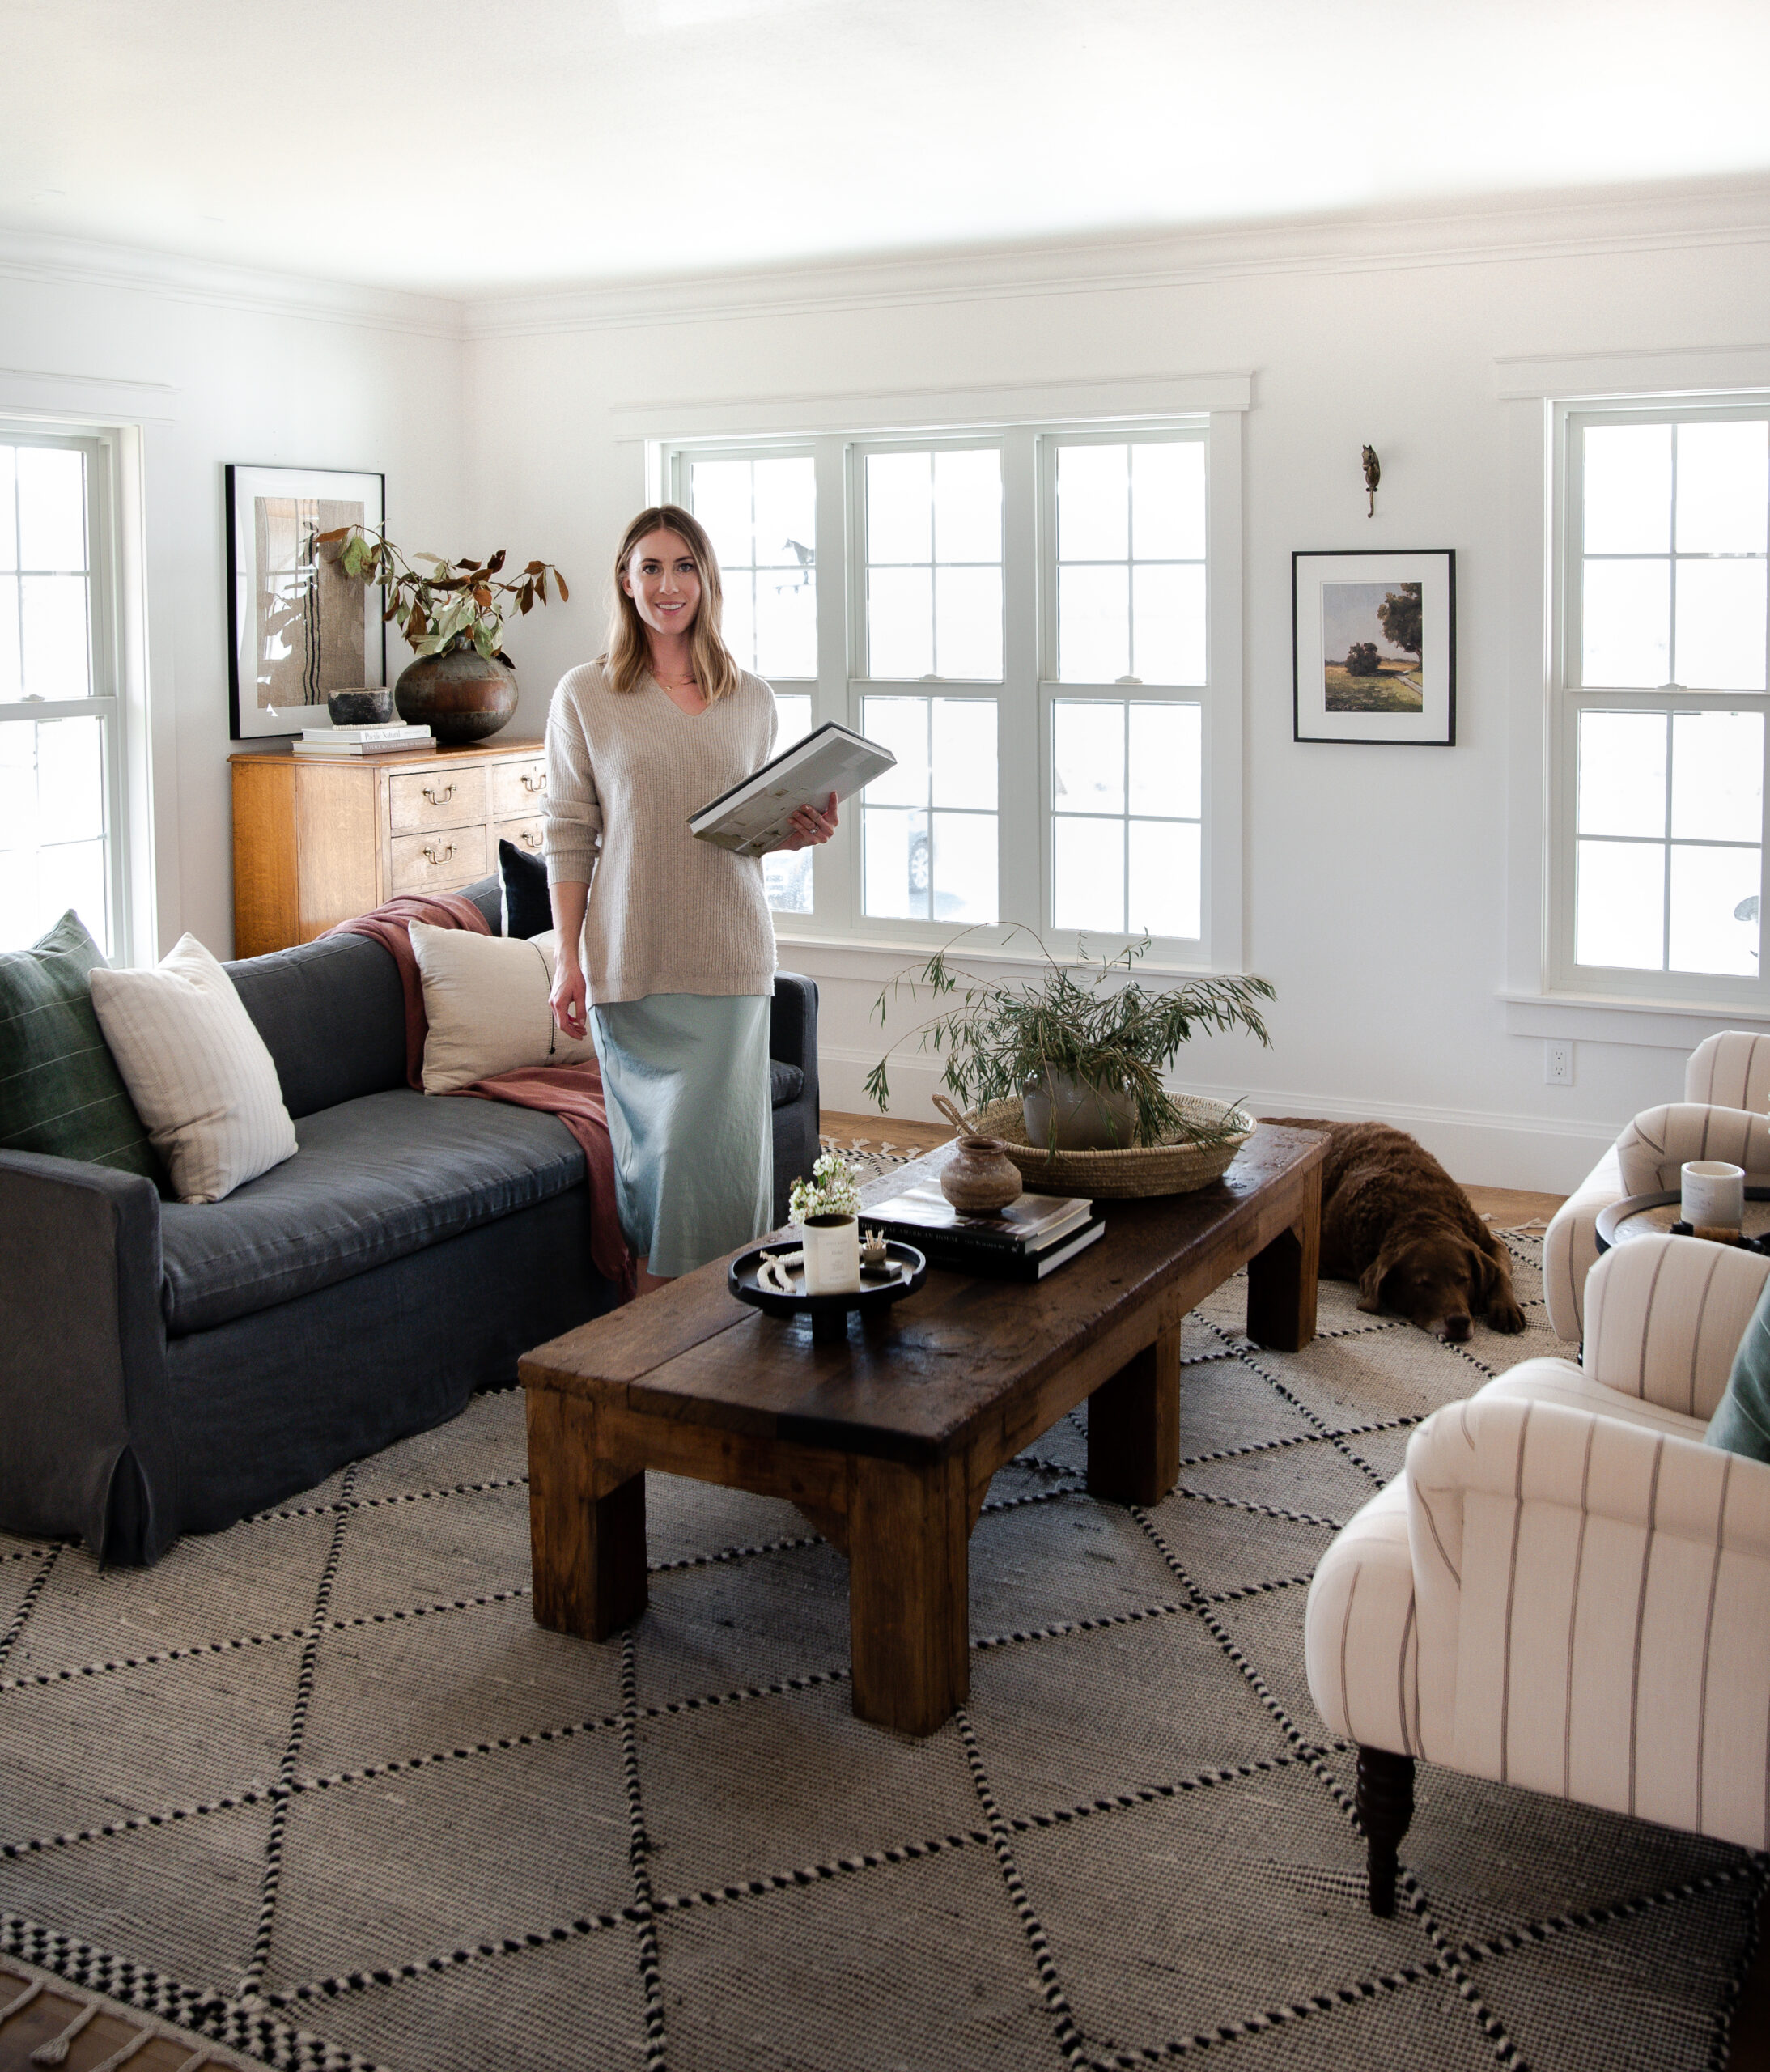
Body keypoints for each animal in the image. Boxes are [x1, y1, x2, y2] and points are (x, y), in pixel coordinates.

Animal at [1268, 1119, 1534, 1342]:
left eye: (1464, 1279)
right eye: (1422, 1284)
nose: (1459, 1321)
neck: (1418, 1209)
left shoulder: (1487, 1240)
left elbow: (1500, 1270)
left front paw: (1506, 1307)